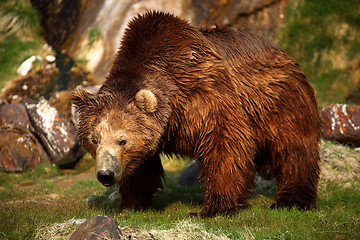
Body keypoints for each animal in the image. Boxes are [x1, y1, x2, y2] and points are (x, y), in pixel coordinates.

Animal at [72, 11, 320, 218]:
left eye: (121, 140)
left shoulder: (204, 97)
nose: (105, 174)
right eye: (94, 139)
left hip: (277, 100)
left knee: (293, 147)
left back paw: (291, 199)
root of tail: (280, 50)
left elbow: (224, 145)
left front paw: (212, 209)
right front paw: (131, 204)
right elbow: (141, 168)